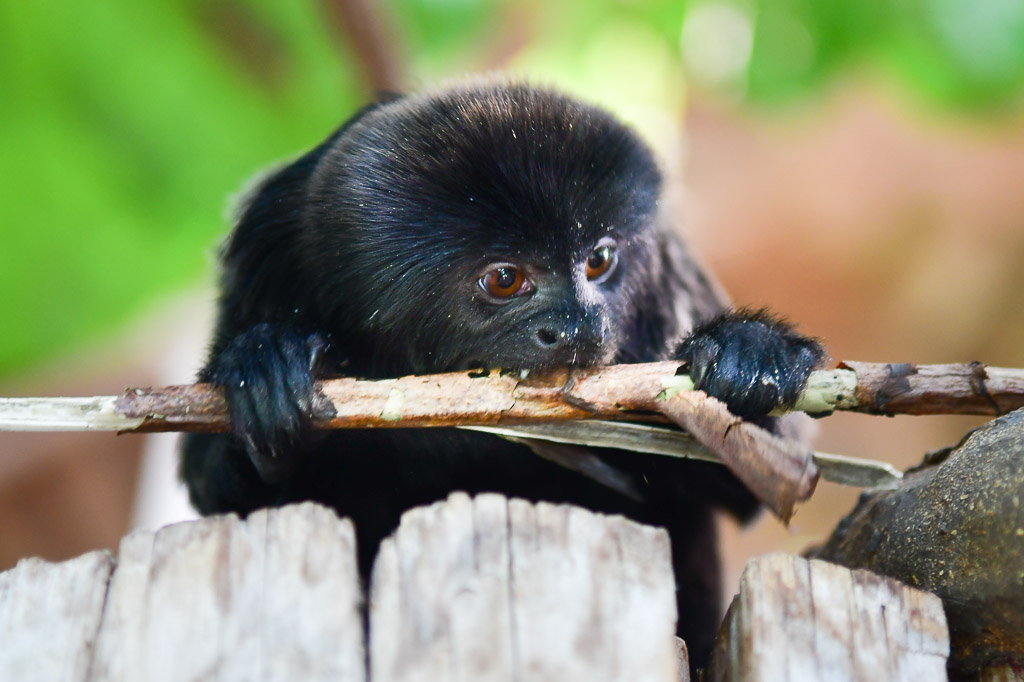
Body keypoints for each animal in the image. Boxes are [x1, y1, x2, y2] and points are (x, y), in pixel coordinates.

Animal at [180, 79, 825, 667]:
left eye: (599, 260)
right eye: (505, 278)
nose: (578, 326)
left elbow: (758, 480)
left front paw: (748, 358)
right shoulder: (267, 261)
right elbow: (218, 490)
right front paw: (266, 373)